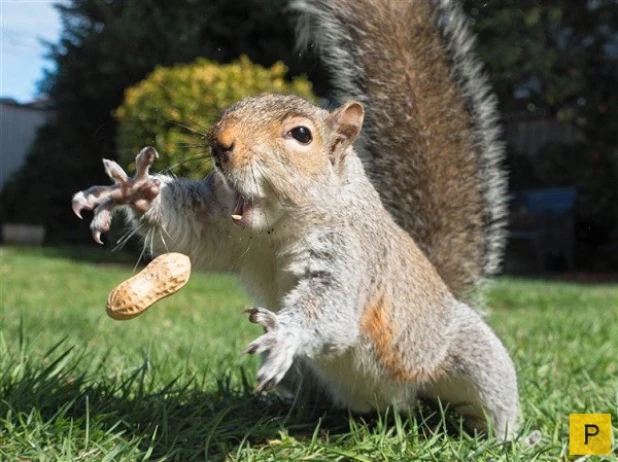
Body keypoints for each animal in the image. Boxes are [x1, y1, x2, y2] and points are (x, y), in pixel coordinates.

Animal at [74, 0, 524, 440]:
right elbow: (188, 234)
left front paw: (286, 331)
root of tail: (390, 409)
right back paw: (280, 409)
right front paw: (134, 191)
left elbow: (333, 307)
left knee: (493, 403)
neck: (276, 230)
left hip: (471, 360)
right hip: (306, 375)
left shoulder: (352, 255)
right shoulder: (221, 227)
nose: (220, 142)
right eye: (231, 107)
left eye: (302, 135)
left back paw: (509, 436)